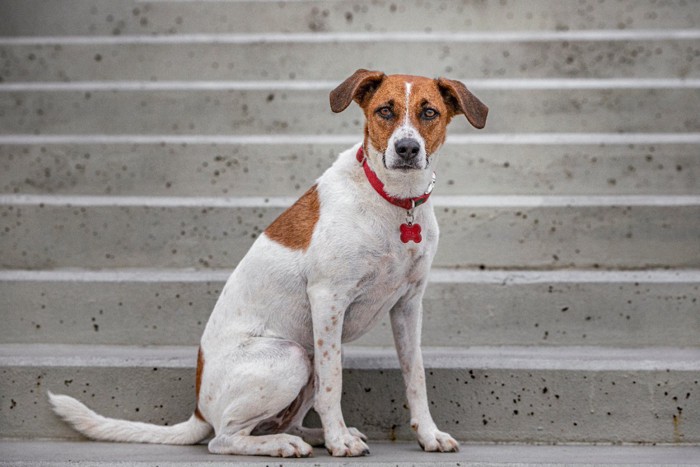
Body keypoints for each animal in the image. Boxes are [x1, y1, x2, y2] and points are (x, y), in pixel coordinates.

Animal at [47, 69, 486, 458]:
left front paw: (427, 435)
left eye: (428, 112)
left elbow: (415, 378)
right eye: (384, 111)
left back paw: (311, 436)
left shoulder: (408, 305)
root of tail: (198, 408)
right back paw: (290, 443)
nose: (407, 149)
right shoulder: (328, 300)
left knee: (284, 420)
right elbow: (334, 385)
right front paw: (340, 443)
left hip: (308, 354)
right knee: (224, 439)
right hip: (292, 356)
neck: (395, 201)